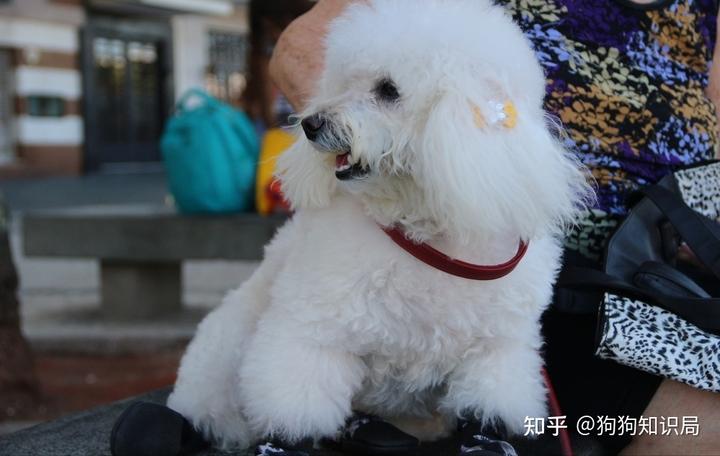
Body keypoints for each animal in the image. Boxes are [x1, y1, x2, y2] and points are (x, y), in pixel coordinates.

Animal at [167, 0, 592, 448]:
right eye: (342, 81)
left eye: (388, 90)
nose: (311, 124)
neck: (425, 236)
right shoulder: (313, 332)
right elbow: (298, 398)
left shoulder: (496, 352)